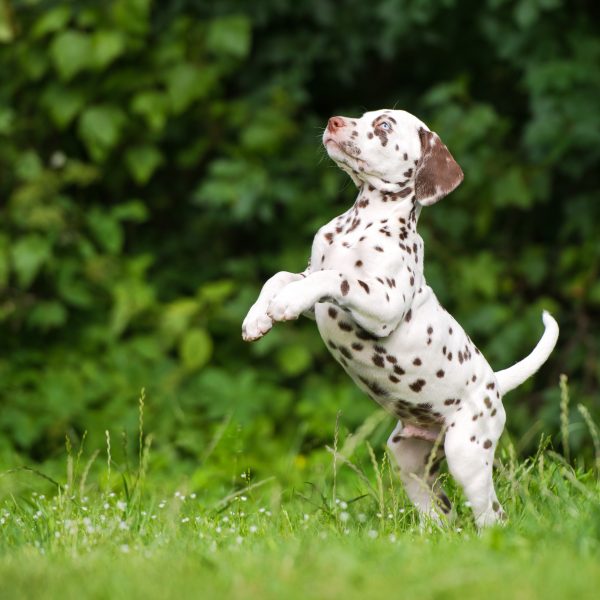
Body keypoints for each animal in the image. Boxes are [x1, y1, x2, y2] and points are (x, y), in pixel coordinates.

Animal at [241, 110, 560, 528]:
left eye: (384, 125)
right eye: (361, 116)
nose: (334, 120)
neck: (361, 223)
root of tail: (494, 382)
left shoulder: (383, 301)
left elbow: (336, 278)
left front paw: (284, 304)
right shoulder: (313, 285)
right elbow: (279, 278)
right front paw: (257, 318)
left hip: (466, 455)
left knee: (492, 515)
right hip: (410, 462)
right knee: (441, 513)